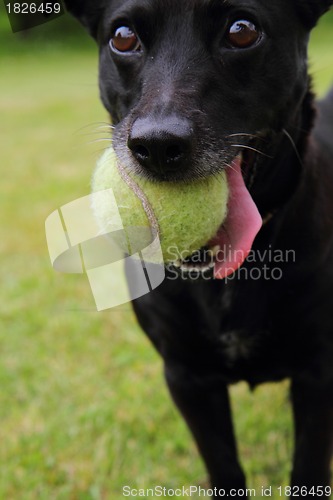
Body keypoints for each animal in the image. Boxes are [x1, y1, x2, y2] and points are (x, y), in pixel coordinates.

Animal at [63, 0, 330, 496]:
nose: (157, 146)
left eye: (242, 30)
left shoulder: (318, 373)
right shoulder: (187, 378)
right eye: (123, 36)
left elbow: (309, 469)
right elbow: (224, 468)